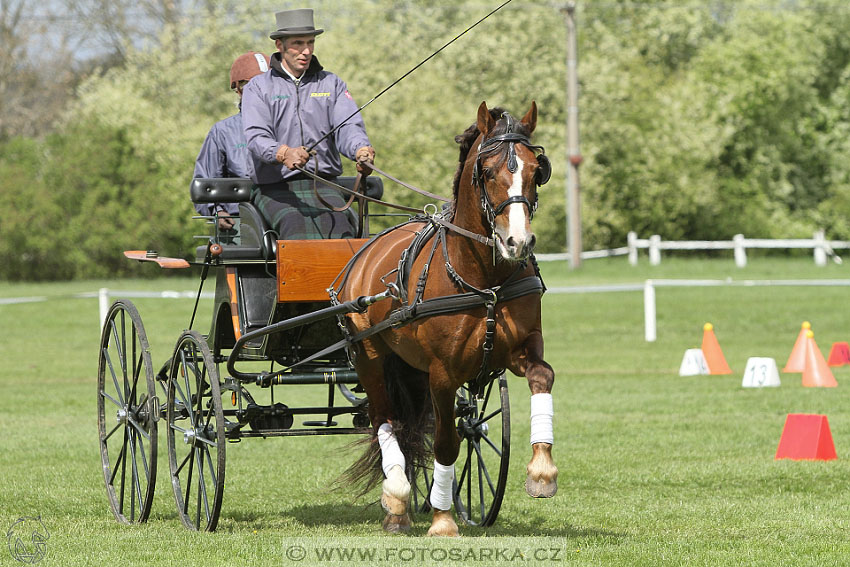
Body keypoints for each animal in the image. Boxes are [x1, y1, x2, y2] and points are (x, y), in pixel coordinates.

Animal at [338, 101, 556, 536]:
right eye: (488, 172)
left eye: (535, 169)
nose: (518, 242)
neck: (485, 280)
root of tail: (364, 253)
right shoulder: (442, 373)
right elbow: (445, 443)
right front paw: (442, 520)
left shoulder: (520, 349)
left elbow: (543, 376)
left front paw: (542, 471)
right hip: (370, 356)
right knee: (384, 419)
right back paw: (397, 496)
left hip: (407, 366)